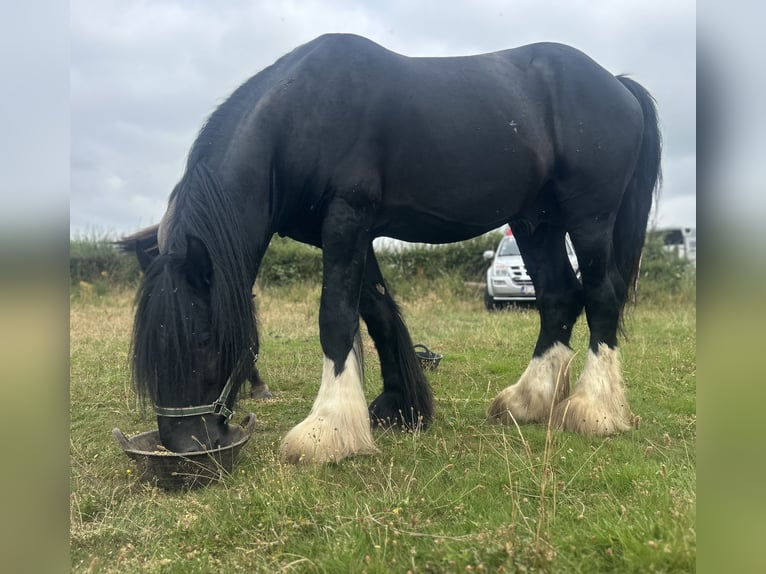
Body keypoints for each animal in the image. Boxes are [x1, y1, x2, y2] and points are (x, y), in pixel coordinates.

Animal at [125, 33, 661, 463]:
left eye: (202, 338)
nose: (185, 443)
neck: (302, 111)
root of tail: (616, 84)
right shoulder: (346, 231)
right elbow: (376, 313)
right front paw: (398, 408)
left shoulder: (347, 218)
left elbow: (335, 317)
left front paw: (325, 432)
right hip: (536, 222)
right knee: (557, 297)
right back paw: (527, 401)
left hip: (588, 219)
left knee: (601, 296)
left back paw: (593, 410)